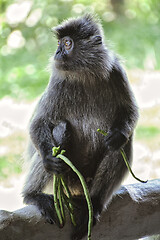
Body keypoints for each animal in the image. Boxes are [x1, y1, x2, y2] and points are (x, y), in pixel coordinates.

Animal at [22, 14, 139, 240]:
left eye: (67, 43)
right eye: (59, 43)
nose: (58, 52)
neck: (84, 74)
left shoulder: (116, 72)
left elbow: (130, 113)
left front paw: (117, 136)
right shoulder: (57, 82)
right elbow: (38, 124)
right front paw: (49, 159)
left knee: (121, 146)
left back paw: (92, 203)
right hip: (68, 178)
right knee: (59, 131)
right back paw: (33, 195)